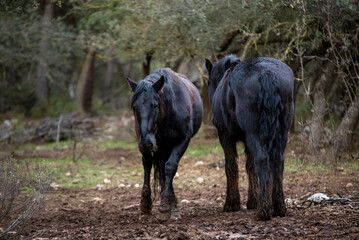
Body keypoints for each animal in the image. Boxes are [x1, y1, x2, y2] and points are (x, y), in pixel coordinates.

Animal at [127, 68, 202, 220]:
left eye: (155, 105)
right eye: (134, 107)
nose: (146, 142)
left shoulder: (182, 140)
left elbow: (170, 167)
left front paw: (166, 204)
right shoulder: (147, 145)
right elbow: (148, 165)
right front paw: (145, 204)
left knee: (166, 168)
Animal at [205, 55, 296, 220]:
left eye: (208, 82)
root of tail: (266, 72)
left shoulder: (225, 136)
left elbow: (231, 166)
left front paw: (231, 203)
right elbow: (250, 167)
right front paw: (252, 200)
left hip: (254, 133)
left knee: (262, 159)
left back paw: (264, 210)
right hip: (281, 133)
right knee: (278, 162)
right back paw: (278, 207)